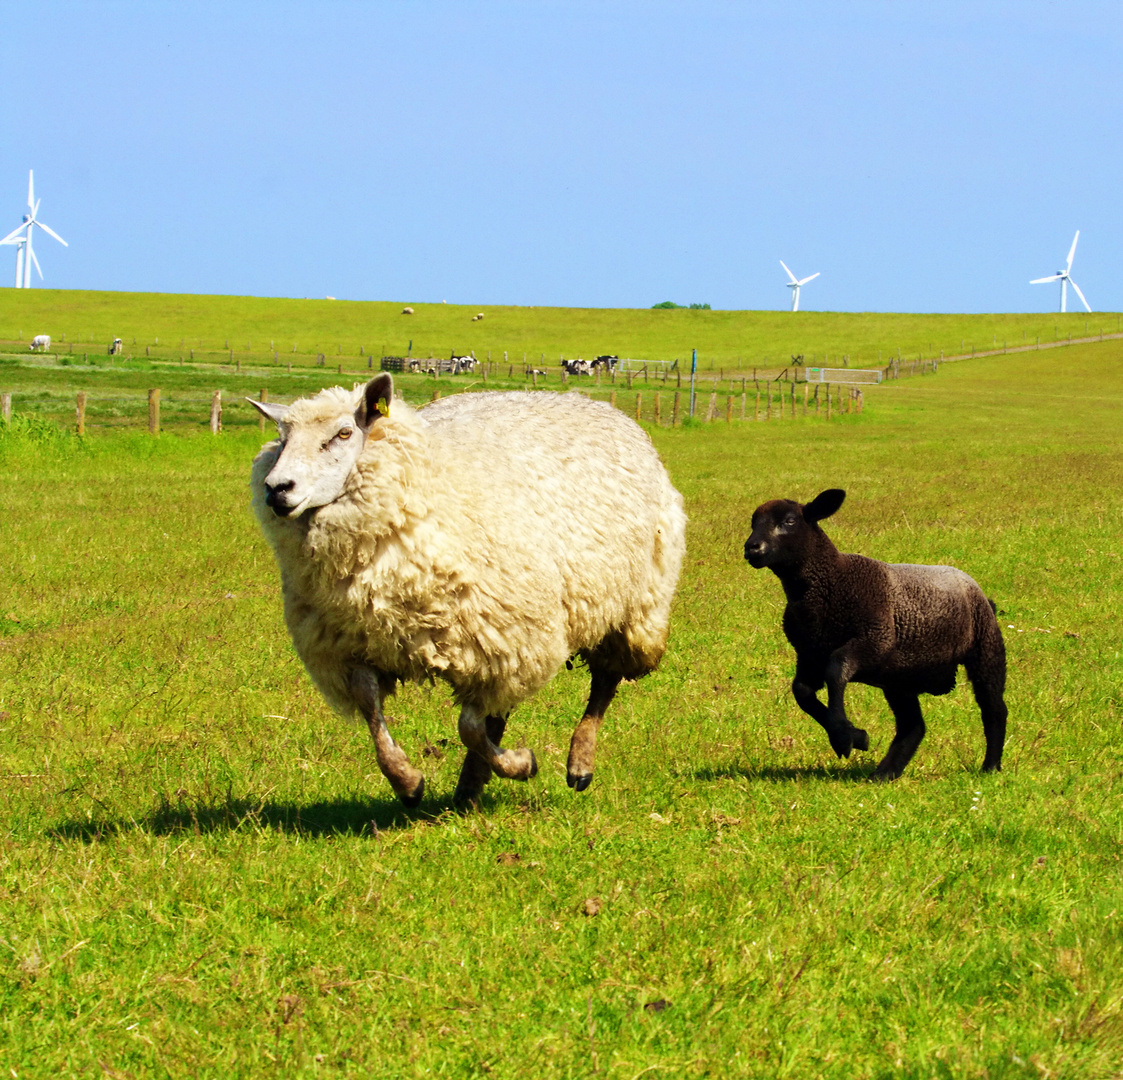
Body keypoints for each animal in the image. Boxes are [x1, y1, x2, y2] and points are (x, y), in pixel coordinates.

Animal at [251, 374, 687, 803]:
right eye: (282, 438)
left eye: (343, 433)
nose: (277, 488)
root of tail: (595, 403)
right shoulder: (354, 648)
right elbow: (373, 713)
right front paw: (407, 781)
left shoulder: (500, 647)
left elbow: (470, 728)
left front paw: (521, 764)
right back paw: (470, 788)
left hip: (632, 604)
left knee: (604, 681)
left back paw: (577, 763)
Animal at [745, 487, 1010, 772]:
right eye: (753, 523)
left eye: (790, 521)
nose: (751, 548)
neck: (831, 582)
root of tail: (980, 592)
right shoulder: (809, 655)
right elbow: (801, 691)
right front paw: (855, 736)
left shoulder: (875, 639)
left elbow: (836, 670)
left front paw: (843, 737)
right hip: (899, 677)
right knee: (913, 725)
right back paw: (885, 773)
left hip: (986, 649)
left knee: (994, 709)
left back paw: (990, 767)